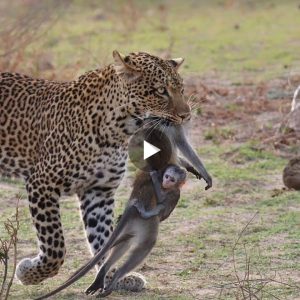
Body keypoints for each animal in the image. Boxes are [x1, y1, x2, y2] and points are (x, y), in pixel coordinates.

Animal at [35, 165, 185, 298]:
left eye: (171, 179)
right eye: (167, 176)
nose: (166, 181)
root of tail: (132, 208)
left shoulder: (171, 191)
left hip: (136, 224)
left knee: (128, 241)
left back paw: (104, 274)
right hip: (146, 223)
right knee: (144, 243)